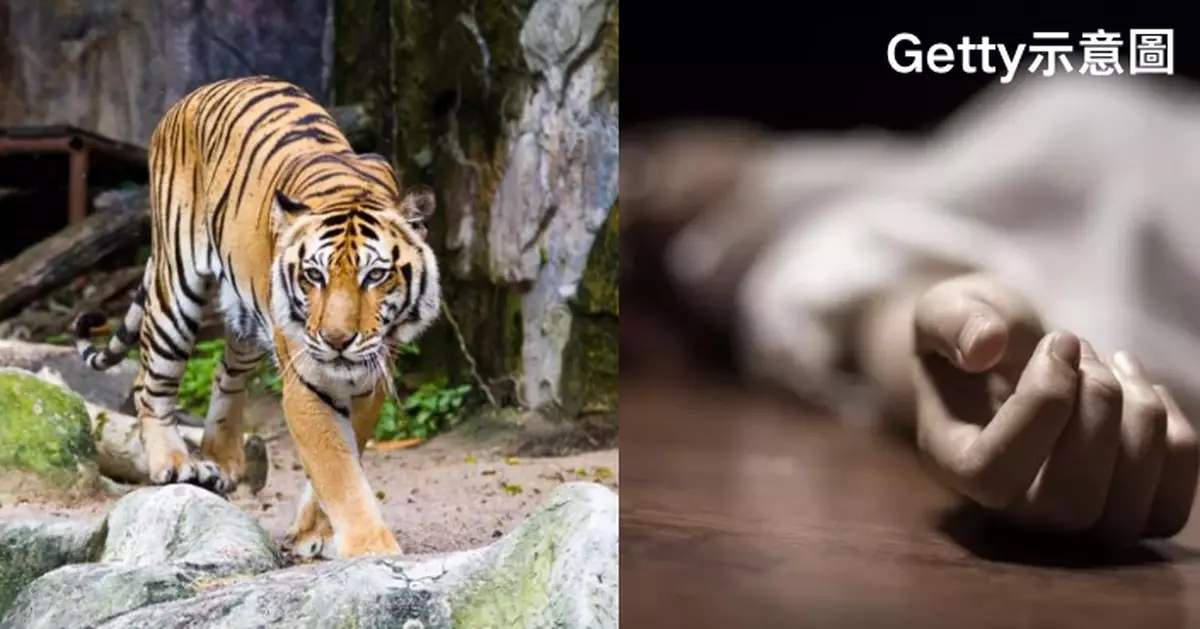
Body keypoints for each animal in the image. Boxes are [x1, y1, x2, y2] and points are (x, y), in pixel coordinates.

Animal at [69, 75, 441, 559]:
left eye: (375, 275)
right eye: (314, 275)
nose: (338, 340)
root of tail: (199, 92)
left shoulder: (371, 377)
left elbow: (346, 455)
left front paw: (314, 533)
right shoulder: (306, 383)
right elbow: (337, 469)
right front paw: (369, 549)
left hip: (245, 314)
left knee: (225, 376)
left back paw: (222, 461)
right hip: (176, 288)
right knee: (150, 383)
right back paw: (173, 463)